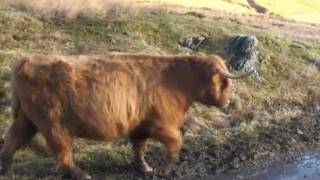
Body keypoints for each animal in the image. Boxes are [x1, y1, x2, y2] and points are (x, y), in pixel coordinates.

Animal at [0, 53, 250, 179]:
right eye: (224, 82)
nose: (228, 102)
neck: (180, 83)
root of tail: (26, 61)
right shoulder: (162, 124)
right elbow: (176, 143)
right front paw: (166, 169)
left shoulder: (142, 125)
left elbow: (139, 148)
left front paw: (145, 168)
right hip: (53, 123)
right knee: (62, 152)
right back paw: (82, 175)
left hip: (27, 118)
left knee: (12, 141)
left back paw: (7, 170)